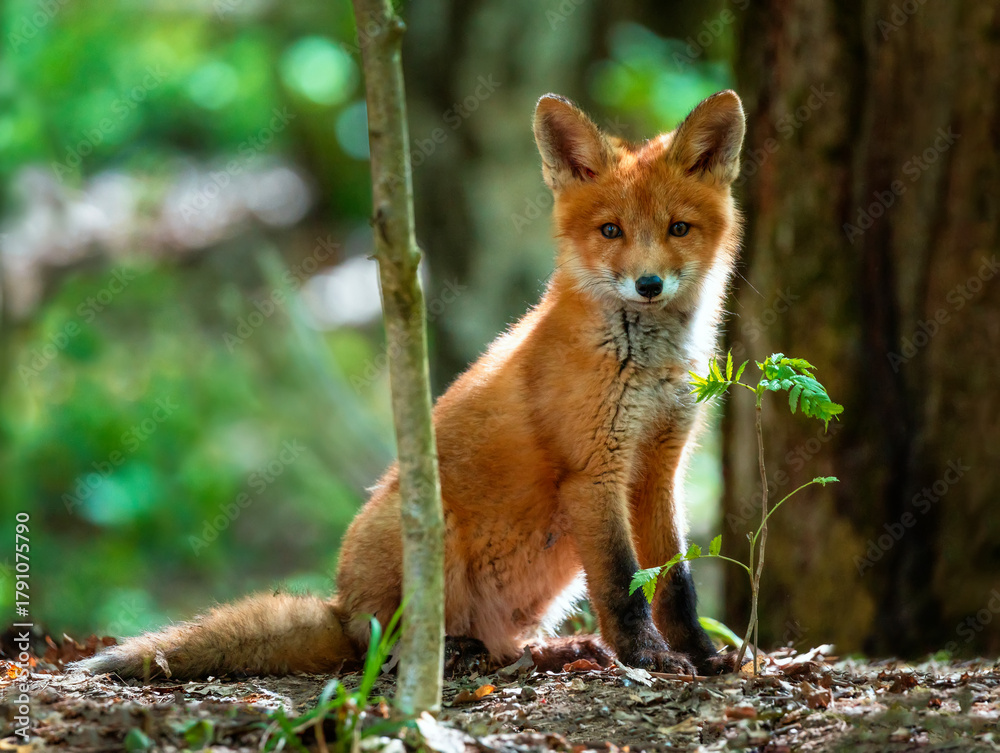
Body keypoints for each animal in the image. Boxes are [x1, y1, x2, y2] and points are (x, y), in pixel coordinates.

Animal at [74, 89, 746, 680]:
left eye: (678, 228)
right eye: (611, 232)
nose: (649, 285)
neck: (647, 364)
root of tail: (339, 607)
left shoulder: (659, 468)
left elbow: (676, 582)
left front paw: (702, 654)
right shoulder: (593, 470)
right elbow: (621, 584)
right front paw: (648, 657)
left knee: (505, 644)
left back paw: (553, 651)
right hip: (430, 523)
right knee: (399, 642)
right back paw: (452, 653)